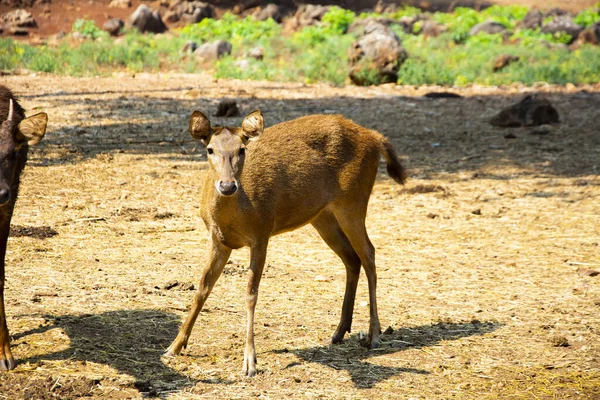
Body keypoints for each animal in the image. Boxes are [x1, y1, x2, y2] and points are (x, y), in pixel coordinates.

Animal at [166, 109, 406, 376]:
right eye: (210, 149)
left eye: (242, 149)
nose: (227, 185)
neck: (234, 217)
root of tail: (376, 138)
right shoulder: (219, 241)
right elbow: (202, 288)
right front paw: (175, 346)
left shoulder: (261, 235)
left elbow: (251, 294)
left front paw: (250, 362)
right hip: (323, 216)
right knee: (352, 258)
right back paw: (339, 331)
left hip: (353, 200)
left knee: (369, 254)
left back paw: (374, 334)